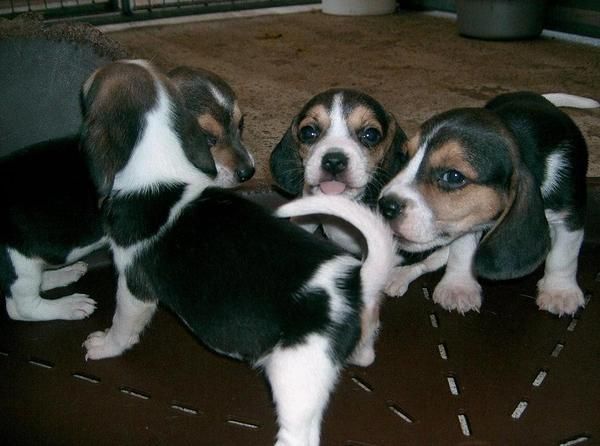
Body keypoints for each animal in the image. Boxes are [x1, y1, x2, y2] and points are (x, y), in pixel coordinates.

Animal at [0, 62, 255, 322]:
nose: (249, 172)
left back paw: (65, 274)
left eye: (241, 125)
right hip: (19, 263)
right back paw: (69, 305)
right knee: (21, 307)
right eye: (208, 138)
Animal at [378, 90, 596, 316]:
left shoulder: (570, 217)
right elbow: (462, 252)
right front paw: (458, 287)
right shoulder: (467, 219)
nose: (384, 206)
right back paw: (401, 275)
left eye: (453, 176)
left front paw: (560, 292)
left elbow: (563, 255)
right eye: (404, 157)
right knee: (433, 260)